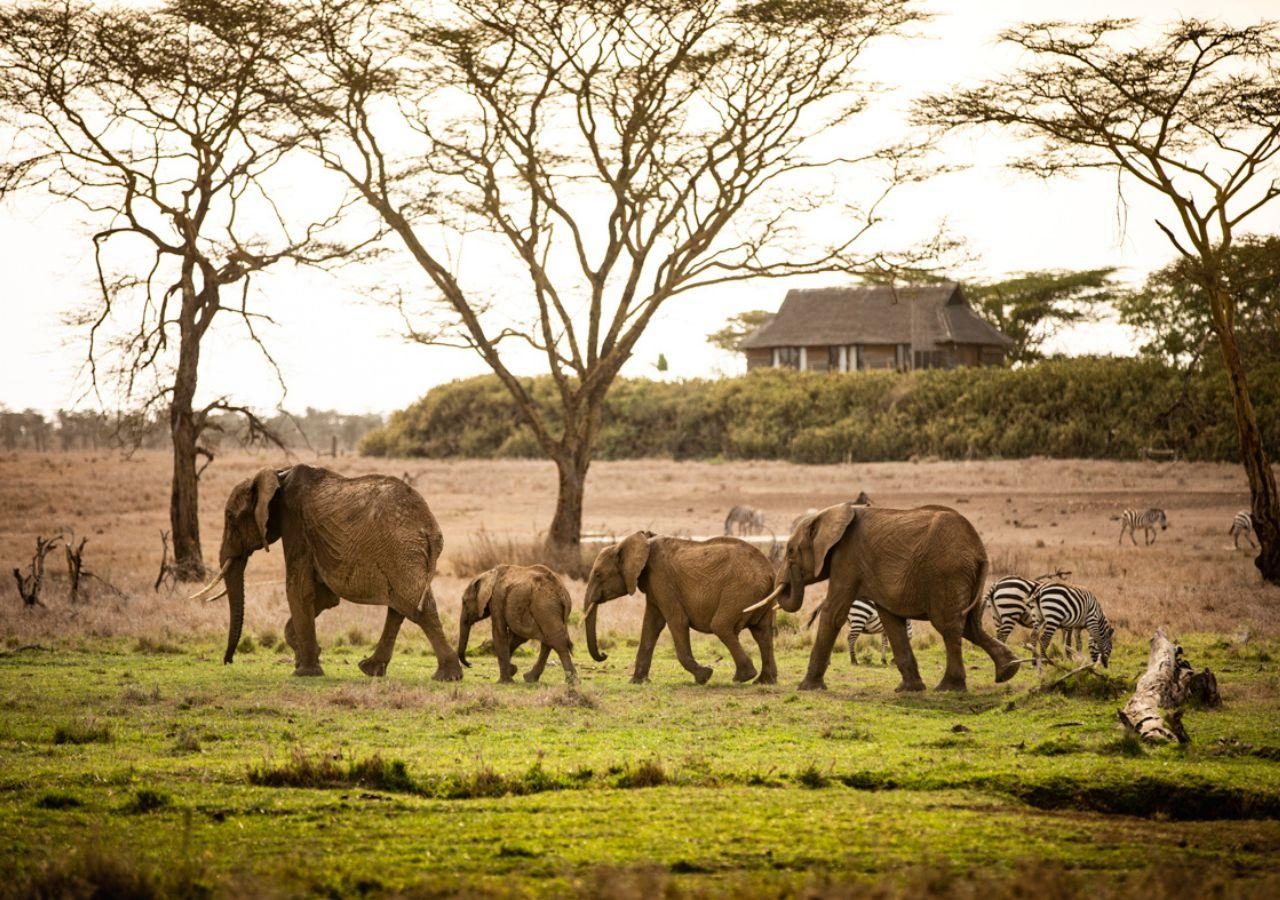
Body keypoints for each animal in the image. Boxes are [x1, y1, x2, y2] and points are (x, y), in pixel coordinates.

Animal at [187, 464, 463, 681]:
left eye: (230, 517)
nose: (228, 661)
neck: (277, 474)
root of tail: (430, 529)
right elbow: (324, 597)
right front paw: (304, 655)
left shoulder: (294, 524)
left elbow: (298, 589)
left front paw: (304, 671)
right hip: (406, 555)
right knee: (401, 604)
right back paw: (372, 669)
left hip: (400, 551)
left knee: (414, 605)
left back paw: (447, 676)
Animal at [583, 531, 777, 685]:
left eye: (598, 574)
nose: (604, 654)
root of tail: (770, 572)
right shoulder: (654, 585)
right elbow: (651, 626)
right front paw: (637, 682)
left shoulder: (661, 578)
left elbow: (677, 621)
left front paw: (704, 676)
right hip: (759, 595)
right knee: (763, 632)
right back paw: (764, 681)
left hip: (741, 590)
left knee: (721, 626)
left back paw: (743, 677)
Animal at [746, 503, 1020, 692]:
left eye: (791, 551)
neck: (830, 513)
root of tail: (980, 551)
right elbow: (892, 621)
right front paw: (909, 690)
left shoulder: (848, 558)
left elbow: (833, 613)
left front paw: (806, 688)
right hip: (965, 578)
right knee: (971, 625)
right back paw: (1008, 671)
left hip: (947, 574)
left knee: (949, 626)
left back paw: (948, 688)